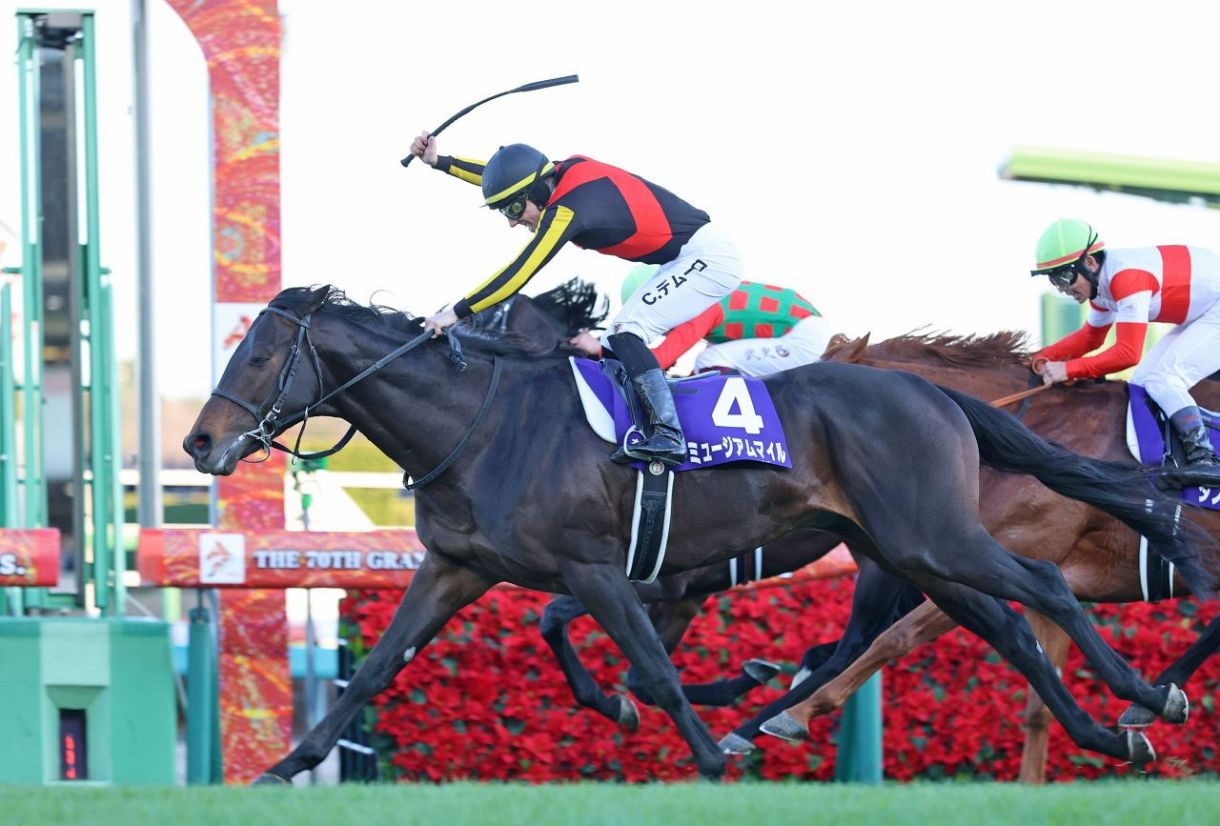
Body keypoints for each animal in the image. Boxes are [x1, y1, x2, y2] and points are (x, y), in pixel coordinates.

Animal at [183, 285, 1211, 783]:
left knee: (1038, 590)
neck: (485, 419)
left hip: (932, 541)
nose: (198, 441)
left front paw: (713, 748)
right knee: (998, 628)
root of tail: (933, 393)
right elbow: (372, 672)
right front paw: (283, 769)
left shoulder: (603, 571)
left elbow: (648, 666)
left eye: (261, 354)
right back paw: (1112, 730)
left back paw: (1145, 701)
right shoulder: (455, 569)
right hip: (907, 549)